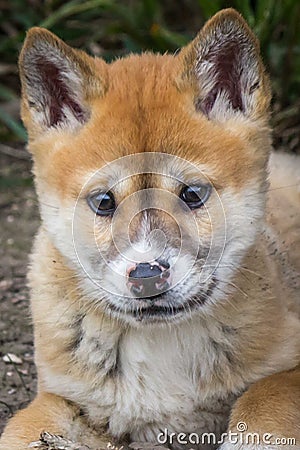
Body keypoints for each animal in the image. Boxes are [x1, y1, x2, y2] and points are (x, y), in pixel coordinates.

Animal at [0, 7, 300, 450]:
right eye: (104, 202)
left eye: (191, 194)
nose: (146, 277)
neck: (161, 348)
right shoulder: (59, 395)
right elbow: (21, 431)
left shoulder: (285, 372)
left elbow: (262, 412)